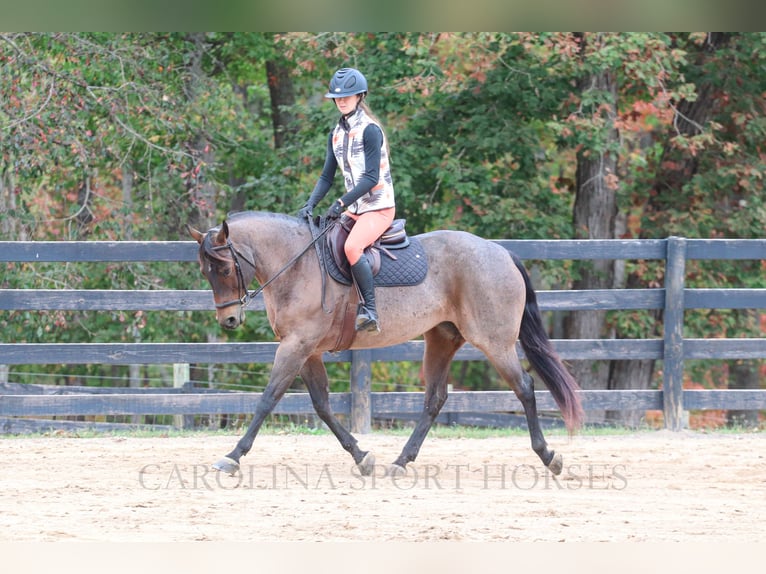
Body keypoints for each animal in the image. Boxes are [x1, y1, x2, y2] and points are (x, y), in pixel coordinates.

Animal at [189, 210, 584, 476]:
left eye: (224, 269)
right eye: (205, 272)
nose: (228, 320)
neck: (297, 264)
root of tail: (500, 252)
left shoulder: (296, 346)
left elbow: (268, 399)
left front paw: (232, 456)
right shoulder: (306, 350)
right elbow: (321, 405)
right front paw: (362, 456)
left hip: (495, 343)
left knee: (525, 388)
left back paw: (549, 456)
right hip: (441, 339)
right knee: (435, 399)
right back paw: (401, 461)